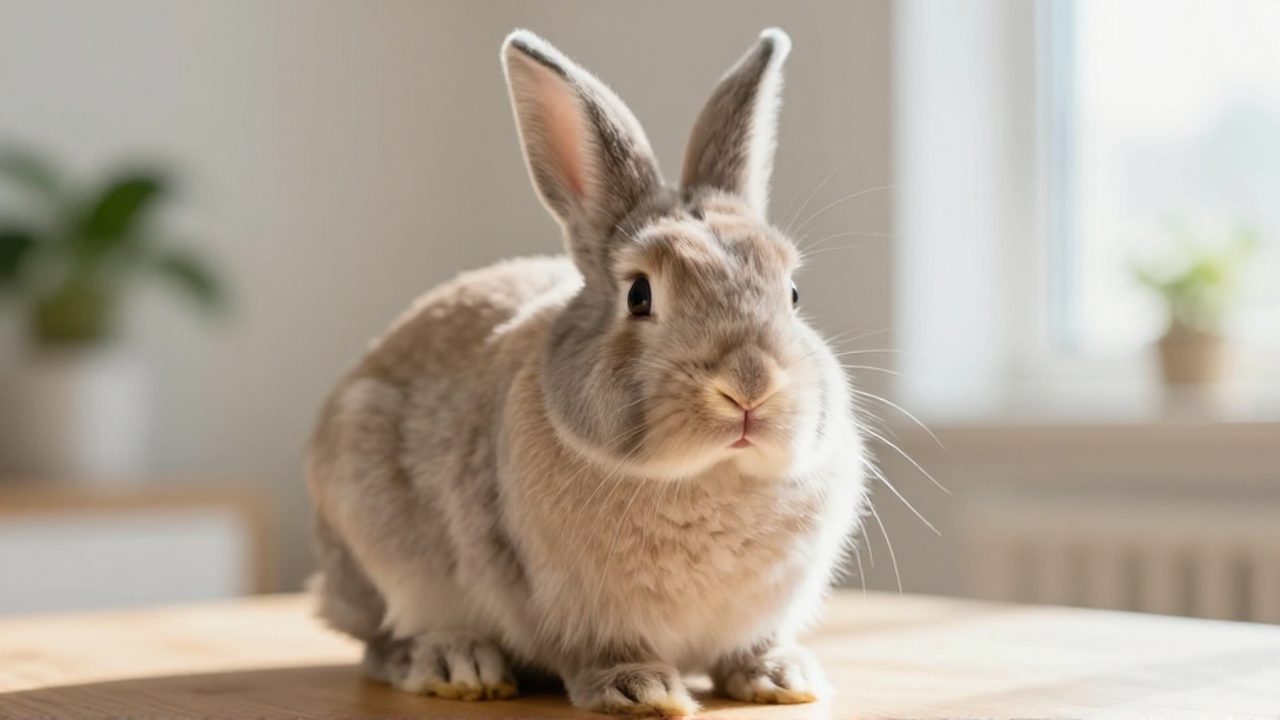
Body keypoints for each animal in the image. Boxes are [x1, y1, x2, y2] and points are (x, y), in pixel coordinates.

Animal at [306, 27, 868, 717]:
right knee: (381, 643)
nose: (749, 388)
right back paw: (458, 664)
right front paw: (641, 690)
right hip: (377, 544)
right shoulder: (572, 608)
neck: (708, 474)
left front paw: (781, 678)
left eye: (792, 294)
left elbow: (751, 646)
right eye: (639, 296)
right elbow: (601, 652)